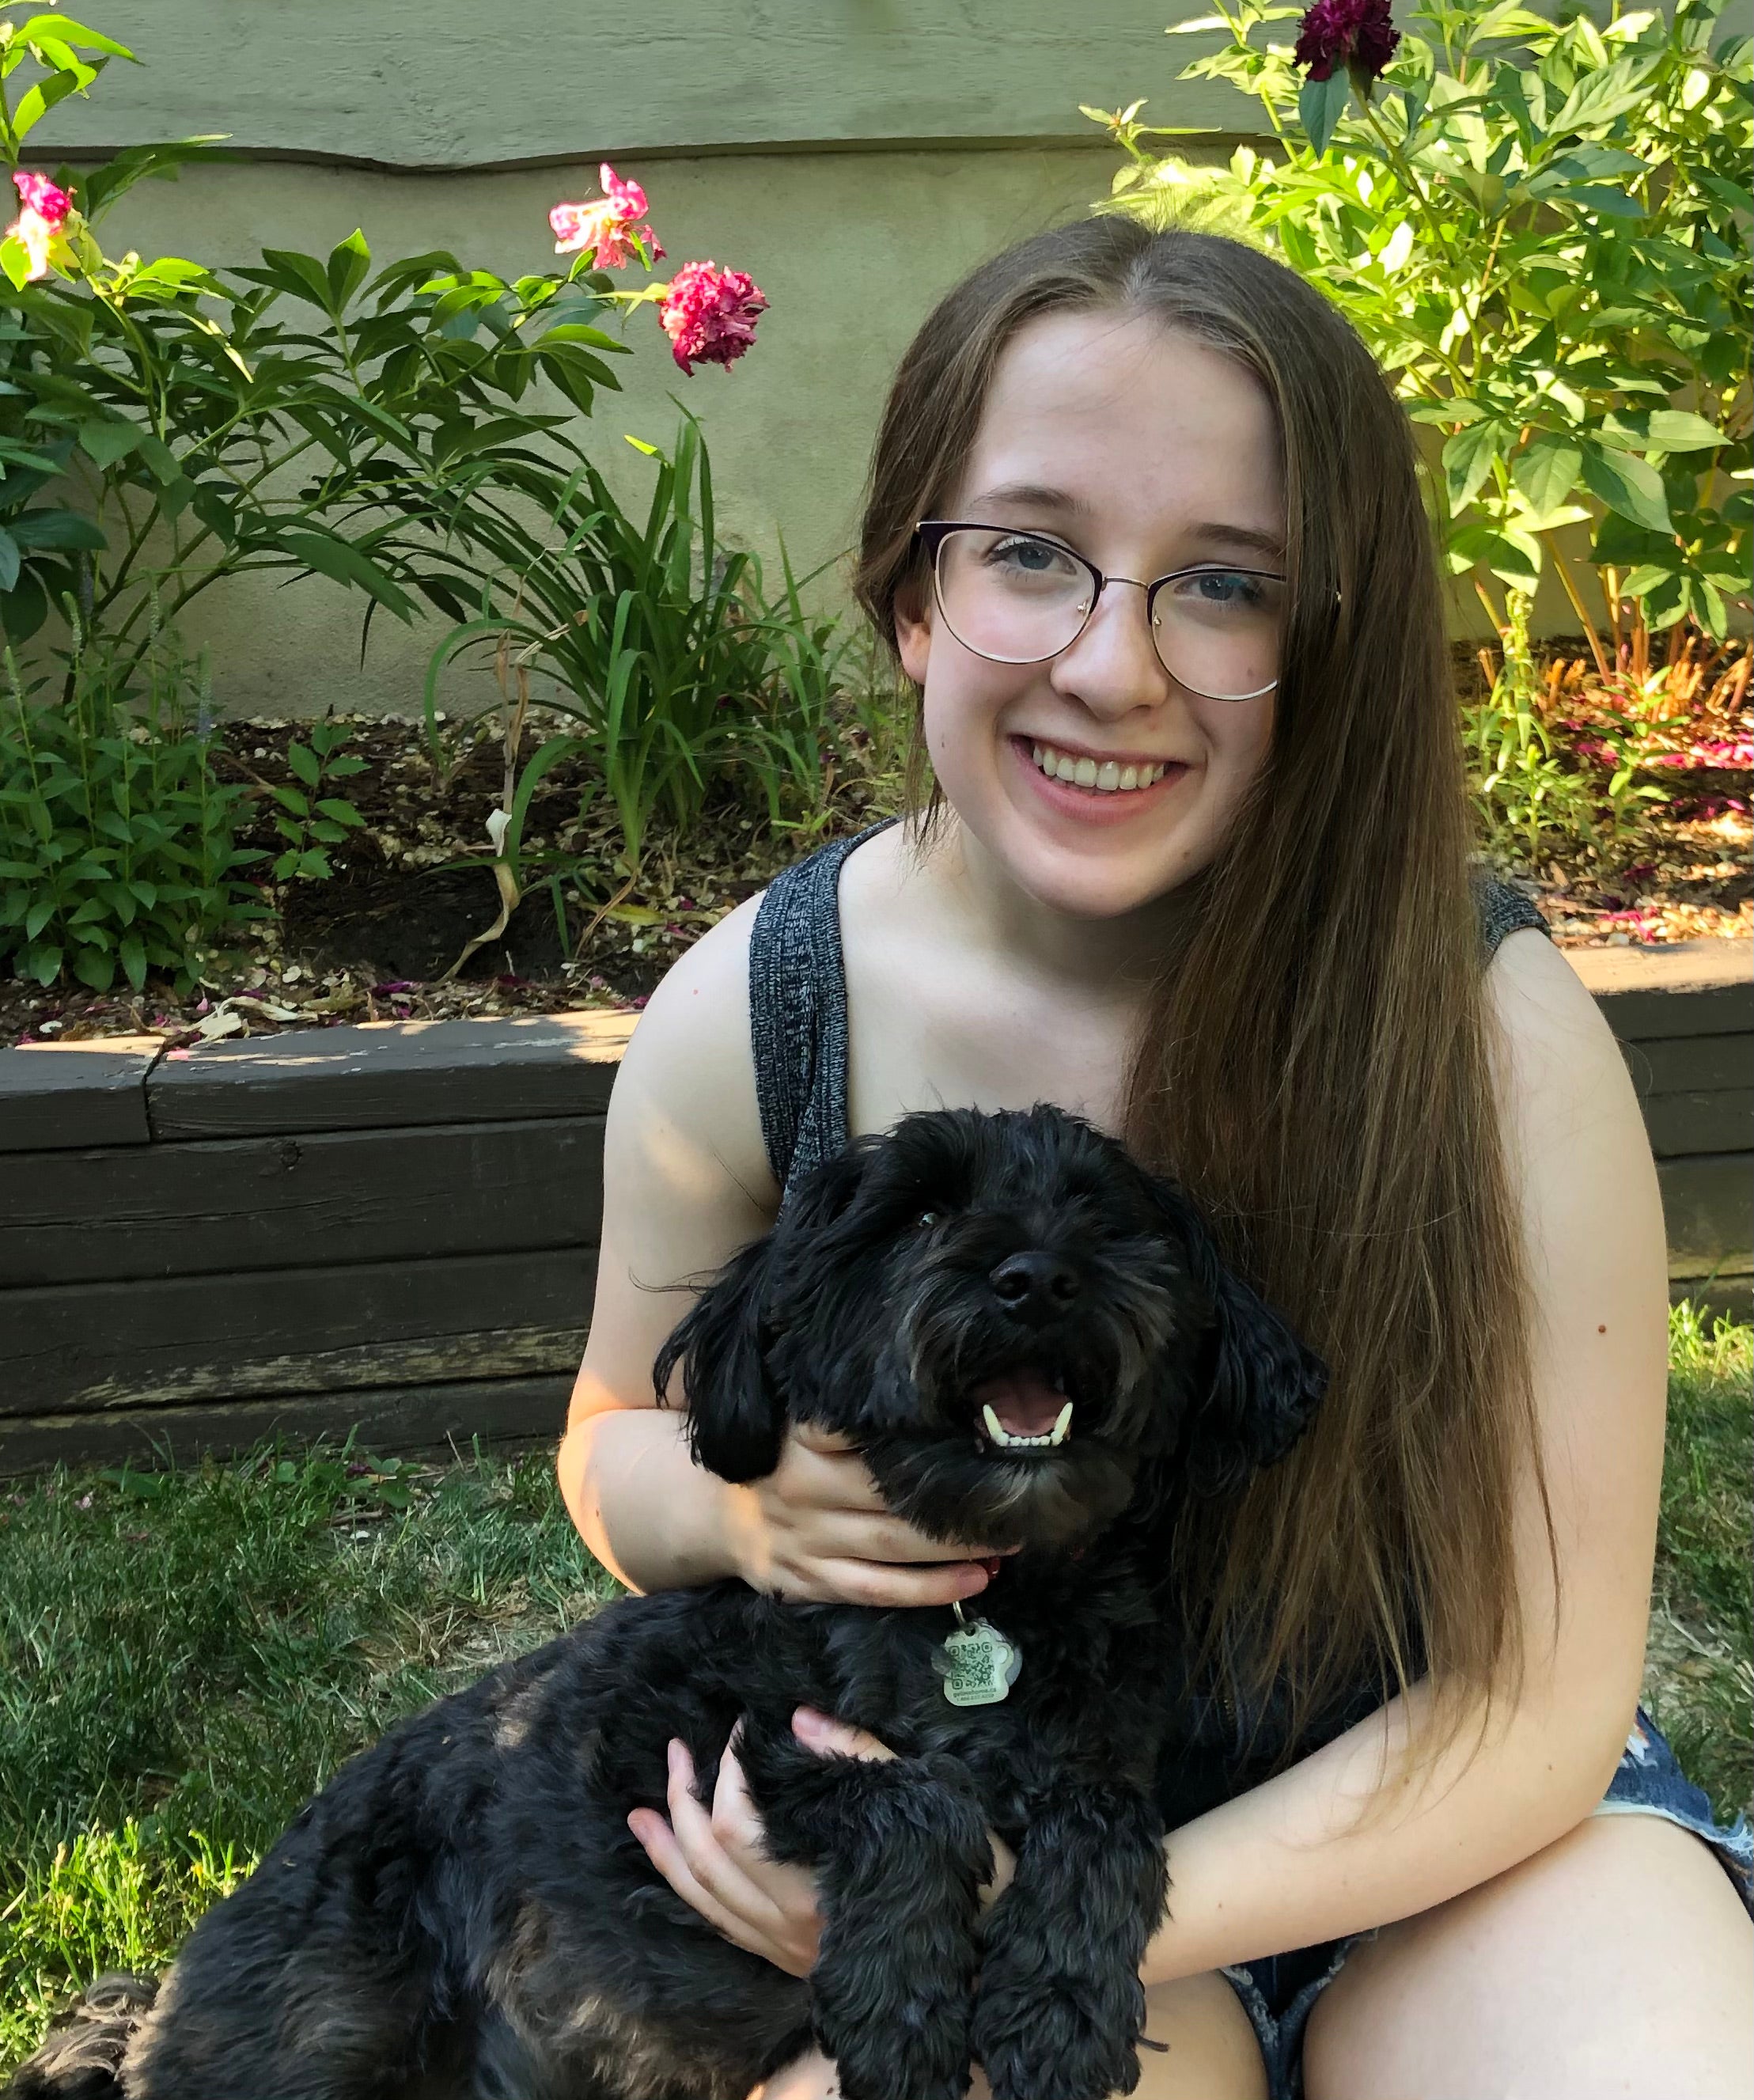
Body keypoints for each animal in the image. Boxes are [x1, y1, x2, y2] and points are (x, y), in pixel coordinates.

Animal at [10, 1109, 1328, 2091]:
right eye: (918, 1214)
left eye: (1108, 1215)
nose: (1037, 1276)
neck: (987, 1587)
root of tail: (156, 2012)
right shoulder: (692, 1740)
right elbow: (908, 1796)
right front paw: (904, 2010)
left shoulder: (1094, 1750)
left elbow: (1106, 1823)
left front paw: (1058, 2007)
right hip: (316, 2037)